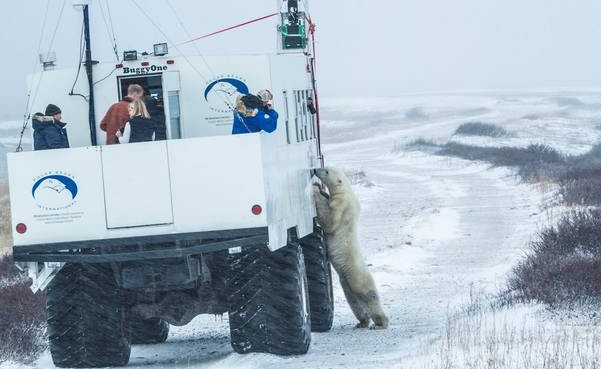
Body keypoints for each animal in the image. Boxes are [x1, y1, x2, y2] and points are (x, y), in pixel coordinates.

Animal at [312, 167, 386, 328]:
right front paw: (323, 192)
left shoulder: (341, 204)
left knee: (367, 295)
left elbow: (329, 221)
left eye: (326, 171)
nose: (315, 170)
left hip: (357, 275)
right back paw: (362, 322)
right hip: (346, 280)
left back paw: (381, 322)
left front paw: (315, 190)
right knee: (353, 299)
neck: (346, 190)